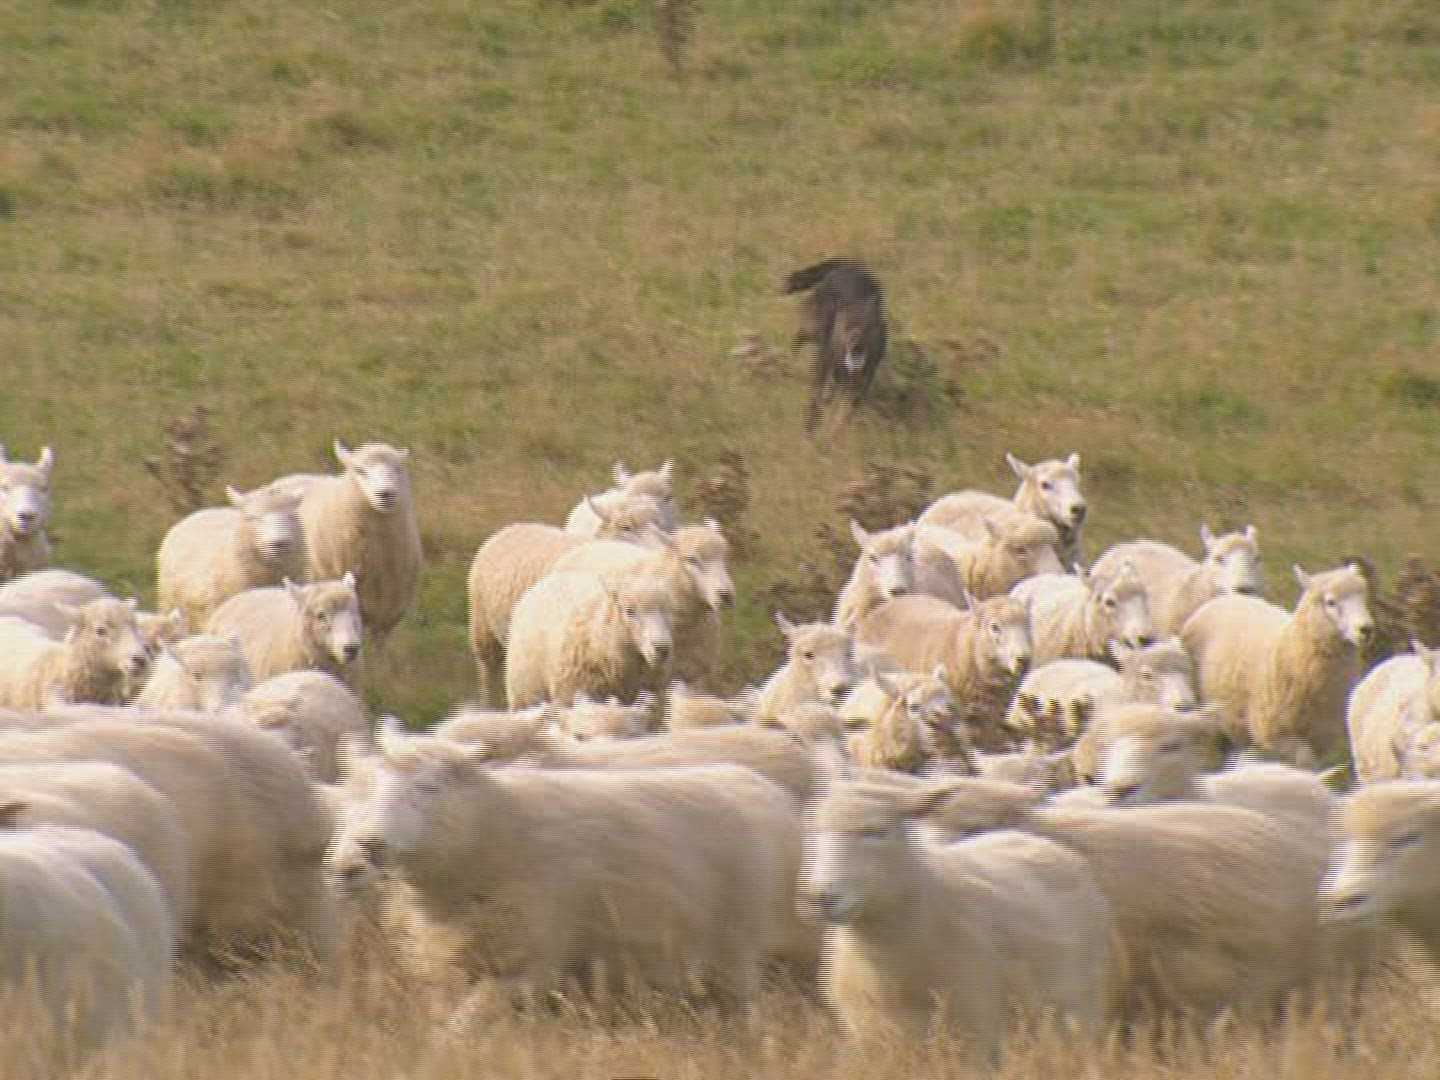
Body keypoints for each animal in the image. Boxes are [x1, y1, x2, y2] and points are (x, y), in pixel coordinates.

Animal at [270, 441, 421, 643]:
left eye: (398, 469)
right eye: (360, 470)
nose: (386, 494)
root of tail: (292, 476)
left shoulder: (388, 607)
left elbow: (379, 644)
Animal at [329, 721, 798, 1011]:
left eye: (428, 788)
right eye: (367, 791)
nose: (367, 846)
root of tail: (754, 783)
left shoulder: (532, 965)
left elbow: (466, 1023)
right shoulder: (455, 966)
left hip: (736, 949)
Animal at [783, 258, 888, 436]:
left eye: (869, 327)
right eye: (847, 327)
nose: (857, 344)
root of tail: (848, 267)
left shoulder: (856, 389)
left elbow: (842, 417)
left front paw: (832, 436)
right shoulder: (825, 375)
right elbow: (816, 406)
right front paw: (809, 434)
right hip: (813, 328)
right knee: (797, 337)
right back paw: (791, 362)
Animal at [800, 779, 1114, 1059]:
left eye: (876, 831)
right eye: (814, 833)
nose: (821, 897)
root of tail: (1029, 838)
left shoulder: (978, 1029)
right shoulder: (873, 1036)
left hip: (1082, 1000)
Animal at [1181, 563, 1374, 765]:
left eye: (1364, 598)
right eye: (1330, 602)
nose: (1366, 630)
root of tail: (1228, 597)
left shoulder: (1321, 735)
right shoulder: (1278, 734)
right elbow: (1303, 763)